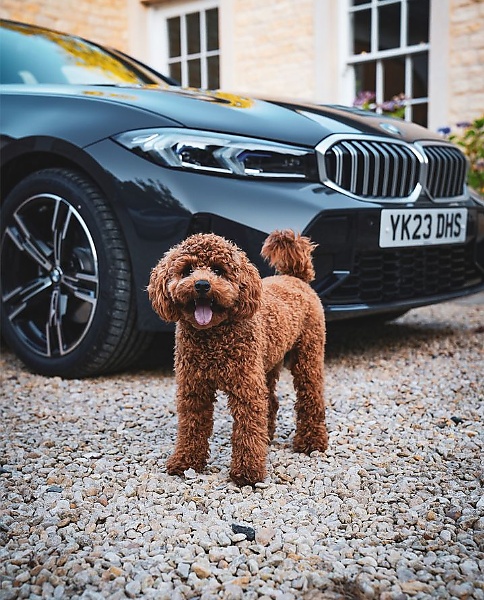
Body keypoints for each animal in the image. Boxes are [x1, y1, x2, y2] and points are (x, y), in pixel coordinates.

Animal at [147, 227, 328, 486]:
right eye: (187, 270)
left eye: (218, 270)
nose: (201, 285)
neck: (212, 337)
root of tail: (295, 277)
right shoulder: (194, 387)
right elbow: (191, 426)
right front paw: (185, 462)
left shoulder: (245, 388)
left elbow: (247, 429)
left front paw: (247, 472)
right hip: (267, 363)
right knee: (271, 401)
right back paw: (268, 436)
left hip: (307, 354)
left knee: (311, 397)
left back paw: (312, 442)